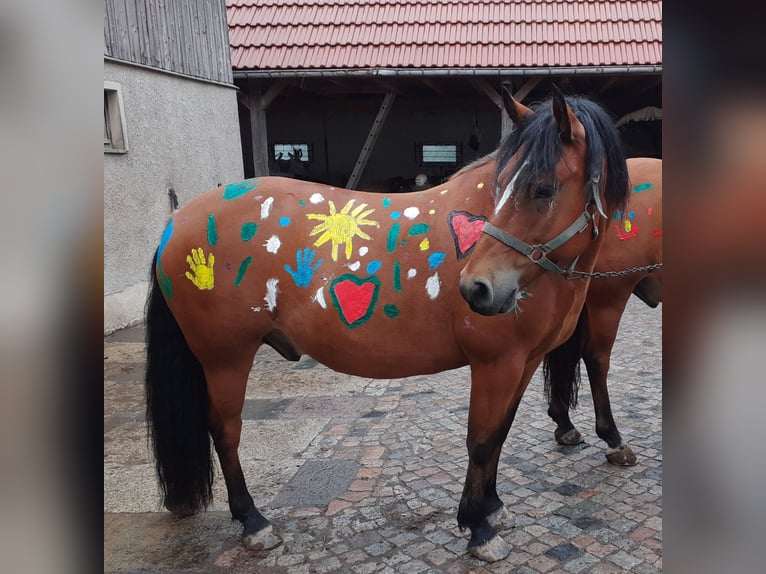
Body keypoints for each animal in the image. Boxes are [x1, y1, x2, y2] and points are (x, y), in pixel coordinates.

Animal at [142, 89, 648, 564]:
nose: (477, 289)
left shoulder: (523, 363)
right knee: (225, 431)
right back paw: (253, 522)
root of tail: (175, 223)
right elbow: (481, 441)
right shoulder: (495, 364)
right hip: (225, 358)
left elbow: (499, 435)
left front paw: (493, 507)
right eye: (504, 185)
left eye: (543, 189)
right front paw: (478, 528)